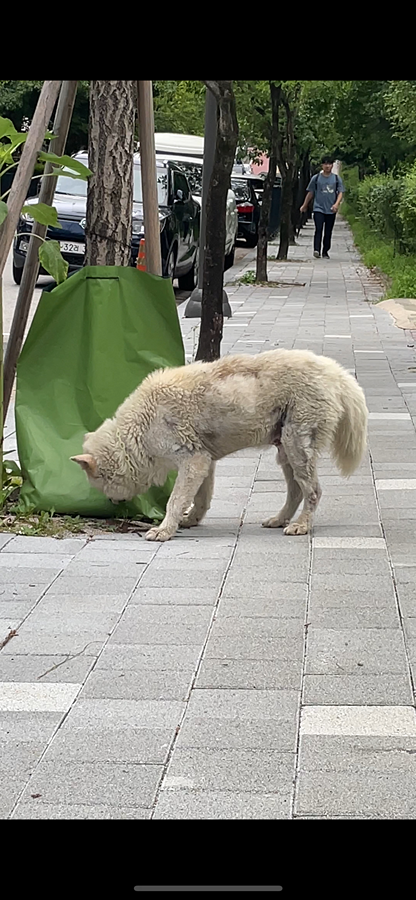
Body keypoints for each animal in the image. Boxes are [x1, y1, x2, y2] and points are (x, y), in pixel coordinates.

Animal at [71, 346, 368, 540]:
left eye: (99, 484)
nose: (112, 502)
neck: (138, 431)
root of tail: (334, 372)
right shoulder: (204, 462)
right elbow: (200, 499)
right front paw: (189, 521)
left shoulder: (192, 461)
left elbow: (175, 500)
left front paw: (164, 530)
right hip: (286, 451)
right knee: (296, 492)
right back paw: (280, 520)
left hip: (297, 446)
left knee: (313, 491)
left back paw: (302, 526)